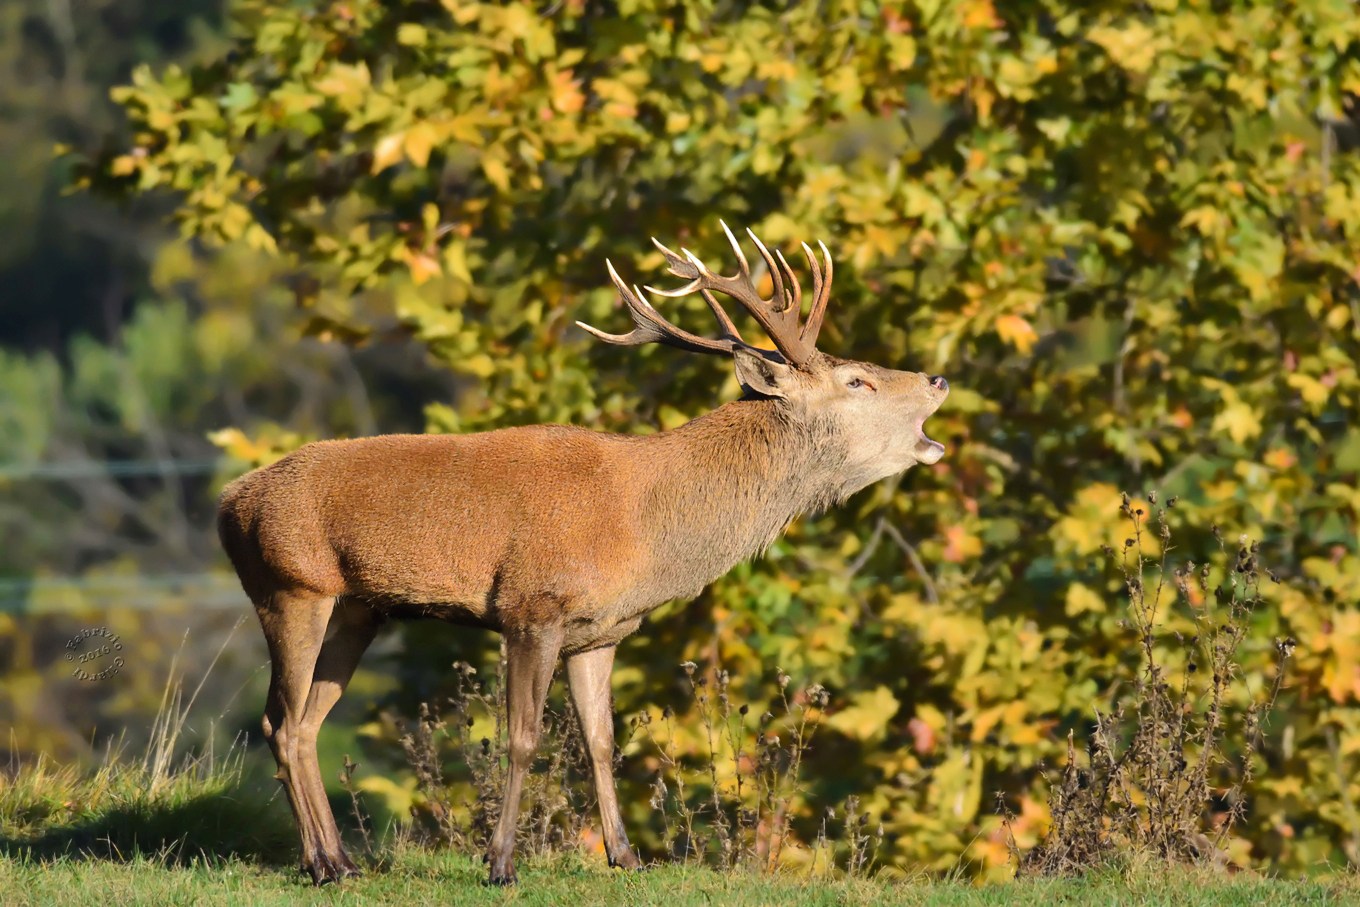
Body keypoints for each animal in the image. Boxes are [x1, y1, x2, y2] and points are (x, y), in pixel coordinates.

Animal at [216, 223, 949, 886]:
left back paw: (339, 861)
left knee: (304, 722)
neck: (644, 529)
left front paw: (627, 856)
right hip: (290, 585)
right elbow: (522, 739)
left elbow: (602, 742)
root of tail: (228, 503)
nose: (938, 378)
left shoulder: (602, 631)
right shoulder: (530, 607)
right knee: (281, 723)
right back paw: (323, 864)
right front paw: (500, 864)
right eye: (856, 380)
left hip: (357, 609)